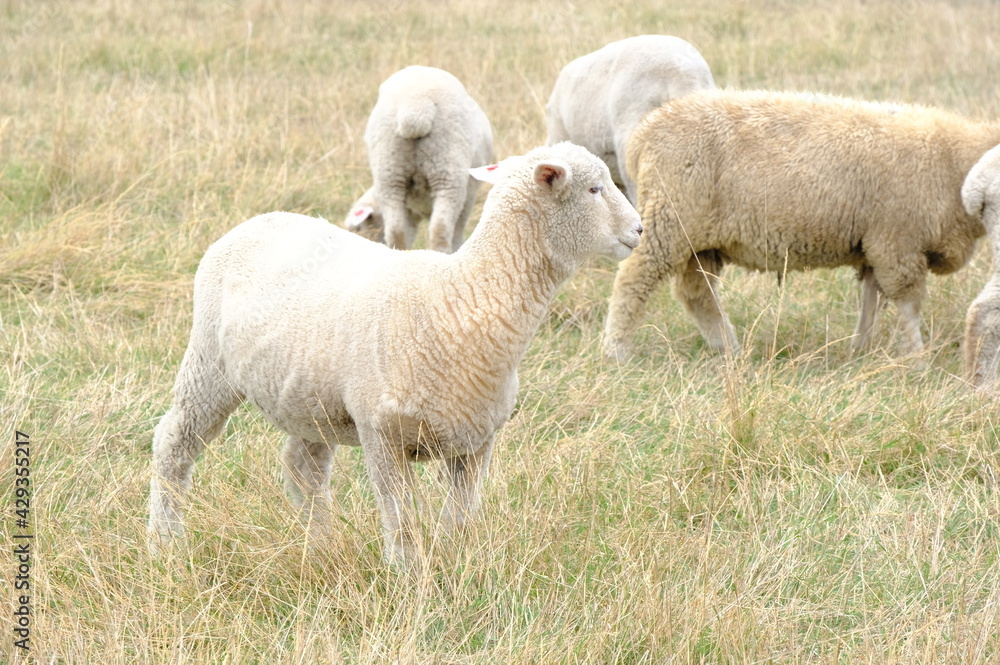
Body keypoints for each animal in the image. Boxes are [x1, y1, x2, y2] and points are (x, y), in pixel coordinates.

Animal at [151, 140, 644, 564]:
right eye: (594, 189)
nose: (639, 228)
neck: (459, 294)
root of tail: (258, 220)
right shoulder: (382, 432)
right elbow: (402, 518)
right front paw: (407, 574)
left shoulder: (477, 441)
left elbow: (460, 518)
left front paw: (455, 567)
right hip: (208, 360)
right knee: (174, 441)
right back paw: (165, 539)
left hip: (311, 394)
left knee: (303, 467)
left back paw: (322, 543)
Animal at [348, 65, 496, 252]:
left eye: (360, 228)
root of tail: (416, 106)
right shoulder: (467, 195)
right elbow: (457, 229)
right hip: (447, 170)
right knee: (440, 229)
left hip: (390, 171)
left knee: (396, 231)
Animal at [600, 89, 1000, 360]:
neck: (954, 162)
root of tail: (648, 131)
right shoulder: (897, 242)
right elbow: (908, 304)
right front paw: (916, 357)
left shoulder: (875, 243)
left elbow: (871, 299)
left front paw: (860, 349)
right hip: (669, 220)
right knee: (633, 279)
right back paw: (616, 349)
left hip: (700, 240)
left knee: (697, 294)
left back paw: (728, 348)